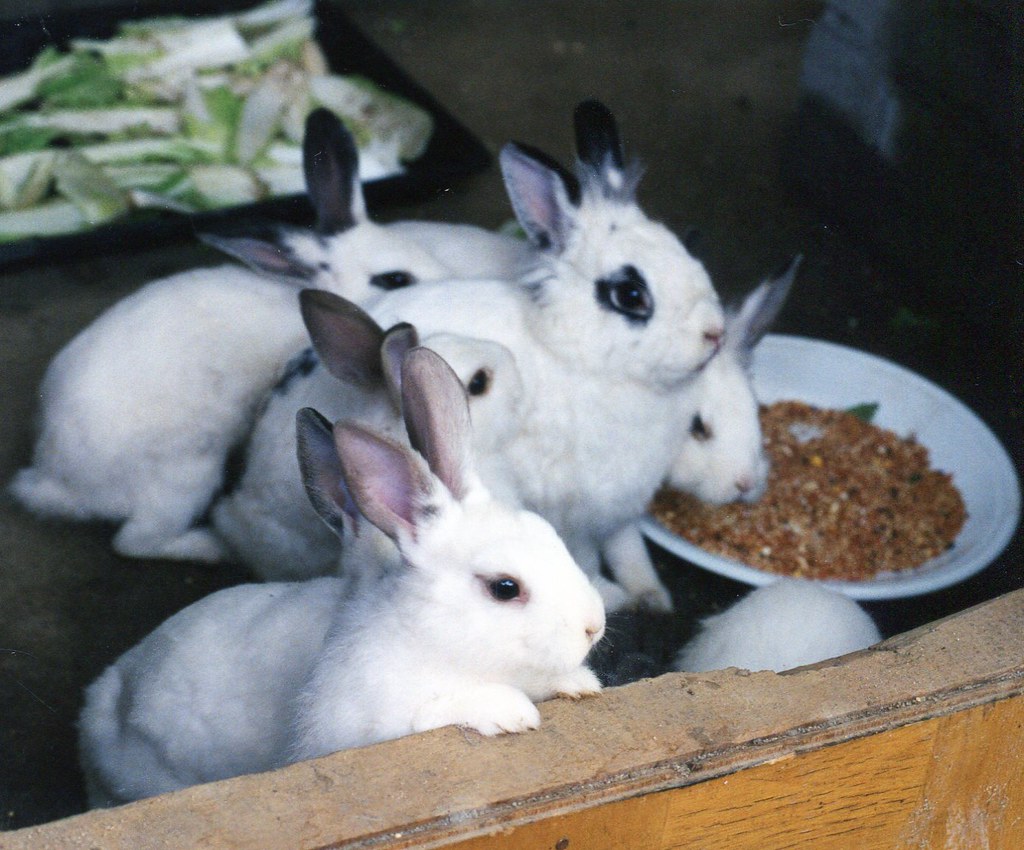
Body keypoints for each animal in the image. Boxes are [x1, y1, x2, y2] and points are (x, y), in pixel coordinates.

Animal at [78, 347, 604, 807]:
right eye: (504, 588)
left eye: (550, 533)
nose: (593, 627)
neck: (433, 636)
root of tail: (98, 702)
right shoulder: (363, 725)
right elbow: (435, 711)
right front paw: (511, 713)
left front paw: (580, 683)